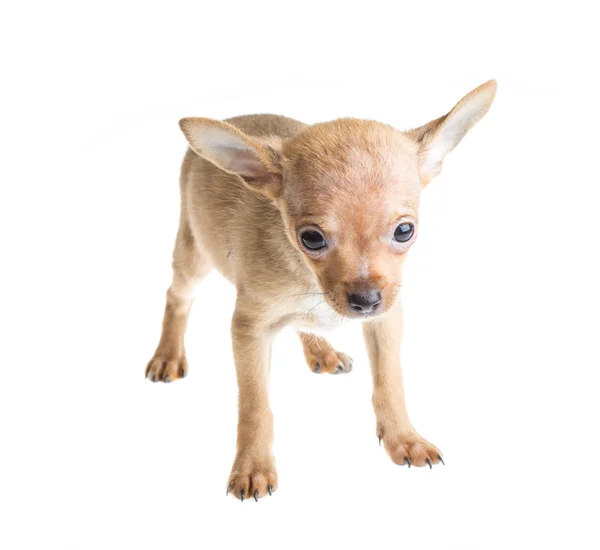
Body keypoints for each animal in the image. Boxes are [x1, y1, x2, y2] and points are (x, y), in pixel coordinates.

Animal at [145, 78, 496, 504]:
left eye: (404, 231)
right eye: (311, 238)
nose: (365, 300)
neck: (310, 281)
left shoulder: (386, 319)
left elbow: (390, 383)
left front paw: (403, 439)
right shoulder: (248, 330)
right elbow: (255, 406)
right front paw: (252, 466)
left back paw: (321, 351)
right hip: (194, 253)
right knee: (177, 295)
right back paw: (167, 354)